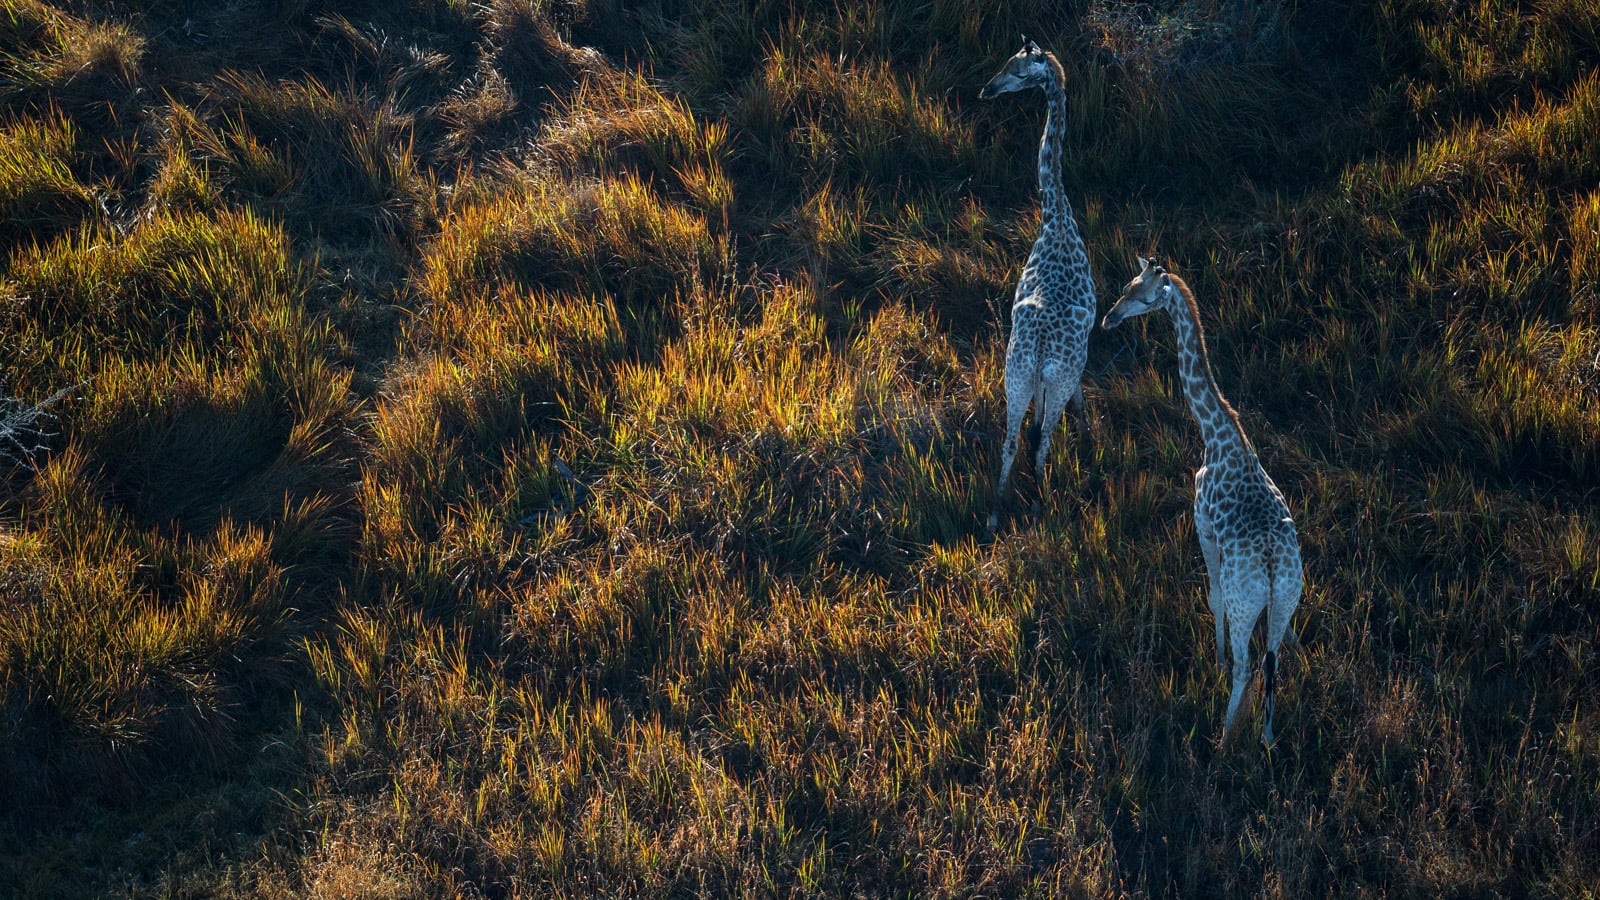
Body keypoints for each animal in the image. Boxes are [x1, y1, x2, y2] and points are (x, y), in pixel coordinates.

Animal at [972, 40, 1100, 531]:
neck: (1056, 217)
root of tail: (1043, 349)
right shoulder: (1075, 365)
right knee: (1043, 438)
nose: (986, 90)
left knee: (1012, 439)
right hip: (1045, 377)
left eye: (1019, 71)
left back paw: (994, 513)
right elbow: (1070, 410)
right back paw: (1039, 502)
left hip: (1016, 374)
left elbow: (1028, 433)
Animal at [1107, 257, 1305, 743]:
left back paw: (1223, 741)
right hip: (1287, 597)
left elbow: (1211, 595)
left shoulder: (1201, 522)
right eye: (1126, 286)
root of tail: (1272, 572)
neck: (1218, 435)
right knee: (1273, 663)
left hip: (1245, 606)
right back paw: (1266, 737)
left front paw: (1214, 659)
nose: (1108, 319)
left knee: (1247, 669)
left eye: (1142, 296)